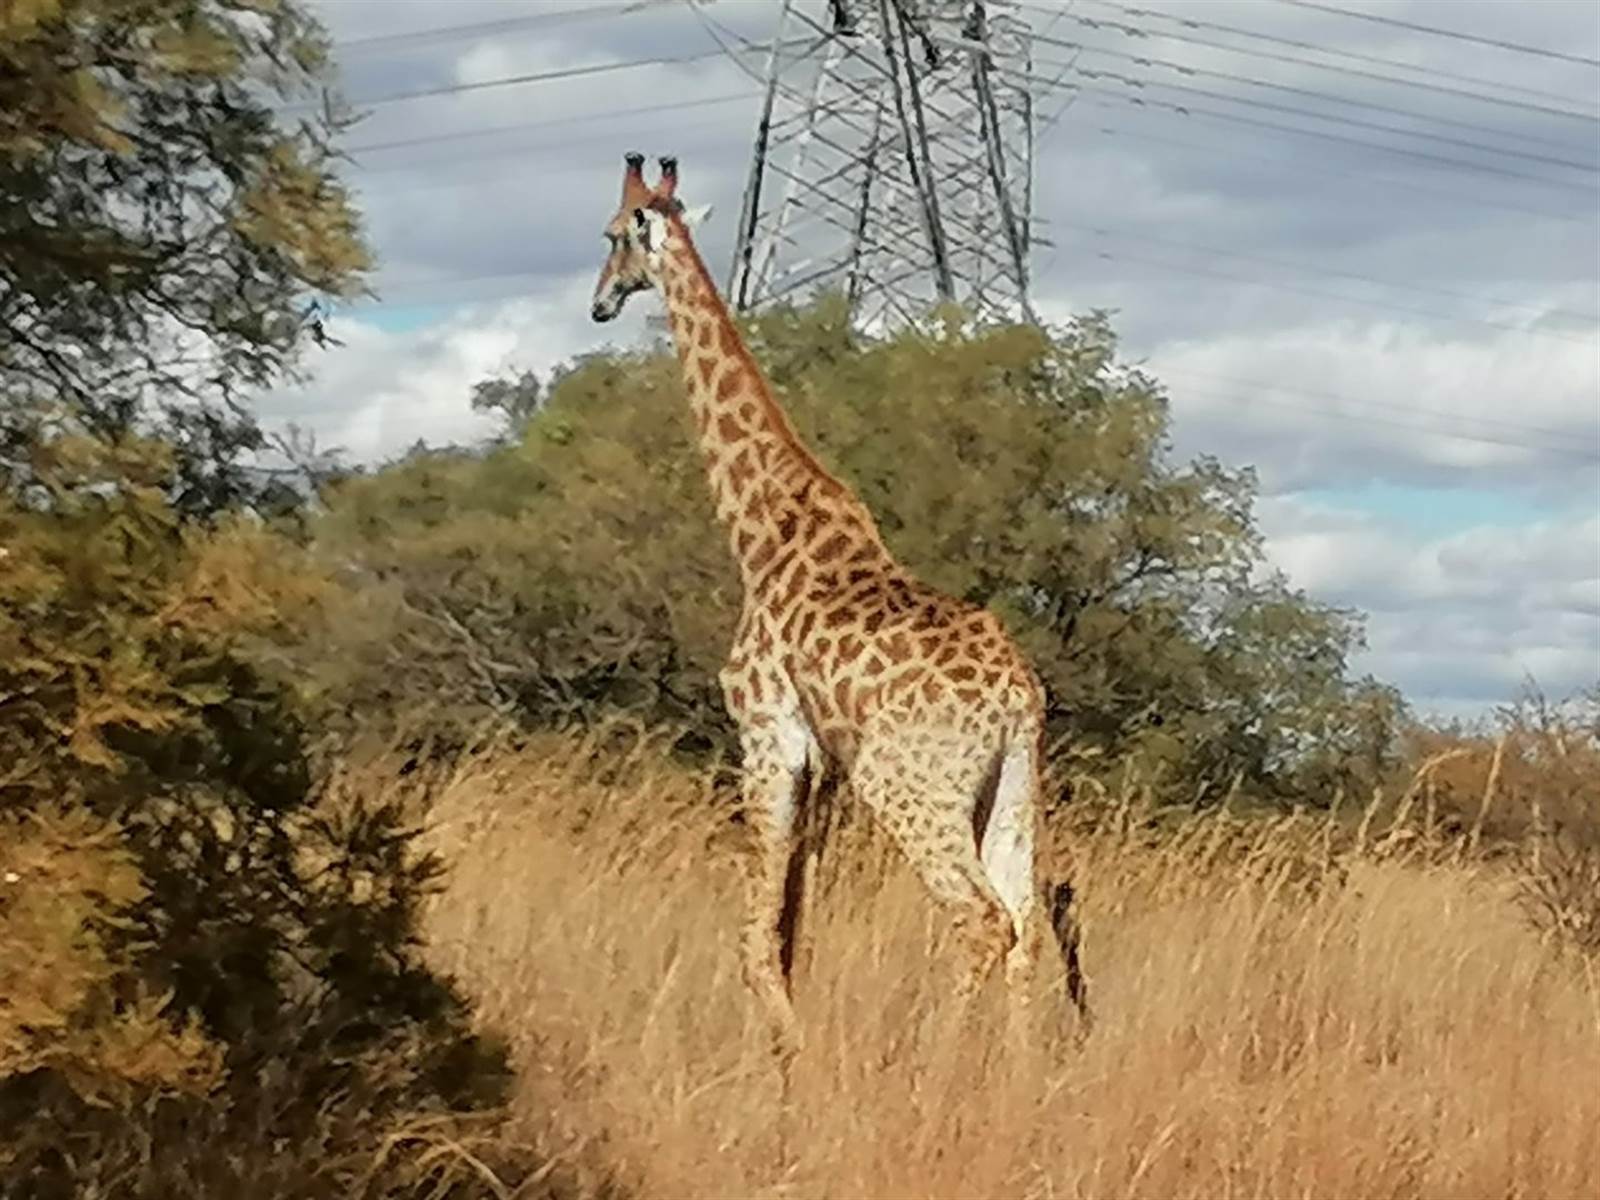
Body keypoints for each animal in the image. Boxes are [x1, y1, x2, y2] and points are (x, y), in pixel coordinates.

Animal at [595, 152, 1094, 1062]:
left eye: (614, 236)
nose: (602, 300)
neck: (760, 526)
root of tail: (1015, 698)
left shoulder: (768, 733)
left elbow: (759, 930)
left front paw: (789, 1048)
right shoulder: (822, 760)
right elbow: (798, 924)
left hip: (907, 785)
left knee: (979, 919)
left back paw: (933, 1068)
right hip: (1013, 788)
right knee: (1026, 923)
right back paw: (1017, 1072)